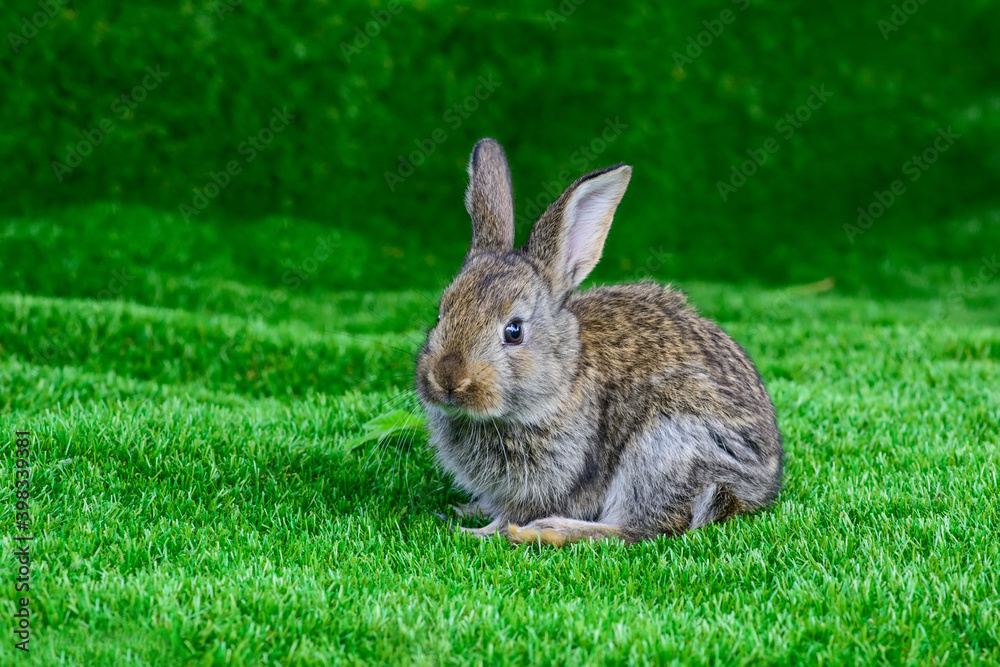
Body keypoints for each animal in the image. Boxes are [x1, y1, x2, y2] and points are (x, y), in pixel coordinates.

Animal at [414, 138, 783, 545]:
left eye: (514, 331)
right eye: (439, 315)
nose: (448, 381)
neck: (562, 379)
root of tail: (755, 490)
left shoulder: (551, 480)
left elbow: (515, 513)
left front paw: (474, 531)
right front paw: (466, 510)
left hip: (666, 449)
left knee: (637, 528)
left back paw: (548, 531)